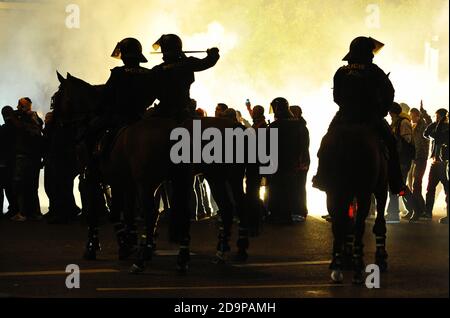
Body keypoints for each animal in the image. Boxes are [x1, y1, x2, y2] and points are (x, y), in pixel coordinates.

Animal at [51, 72, 253, 274]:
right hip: (217, 178)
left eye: (56, 96)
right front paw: (128, 244)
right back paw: (216, 253)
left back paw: (143, 261)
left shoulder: (93, 179)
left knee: (154, 213)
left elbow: (97, 215)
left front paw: (94, 247)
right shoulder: (122, 182)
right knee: (226, 208)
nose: (55, 120)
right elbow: (122, 214)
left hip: (159, 182)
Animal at [322, 123, 388, 284]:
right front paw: (380, 258)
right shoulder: (379, 189)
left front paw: (347, 258)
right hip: (365, 192)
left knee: (339, 225)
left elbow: (347, 223)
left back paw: (338, 267)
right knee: (358, 226)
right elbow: (378, 223)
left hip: (334, 193)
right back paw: (357, 270)